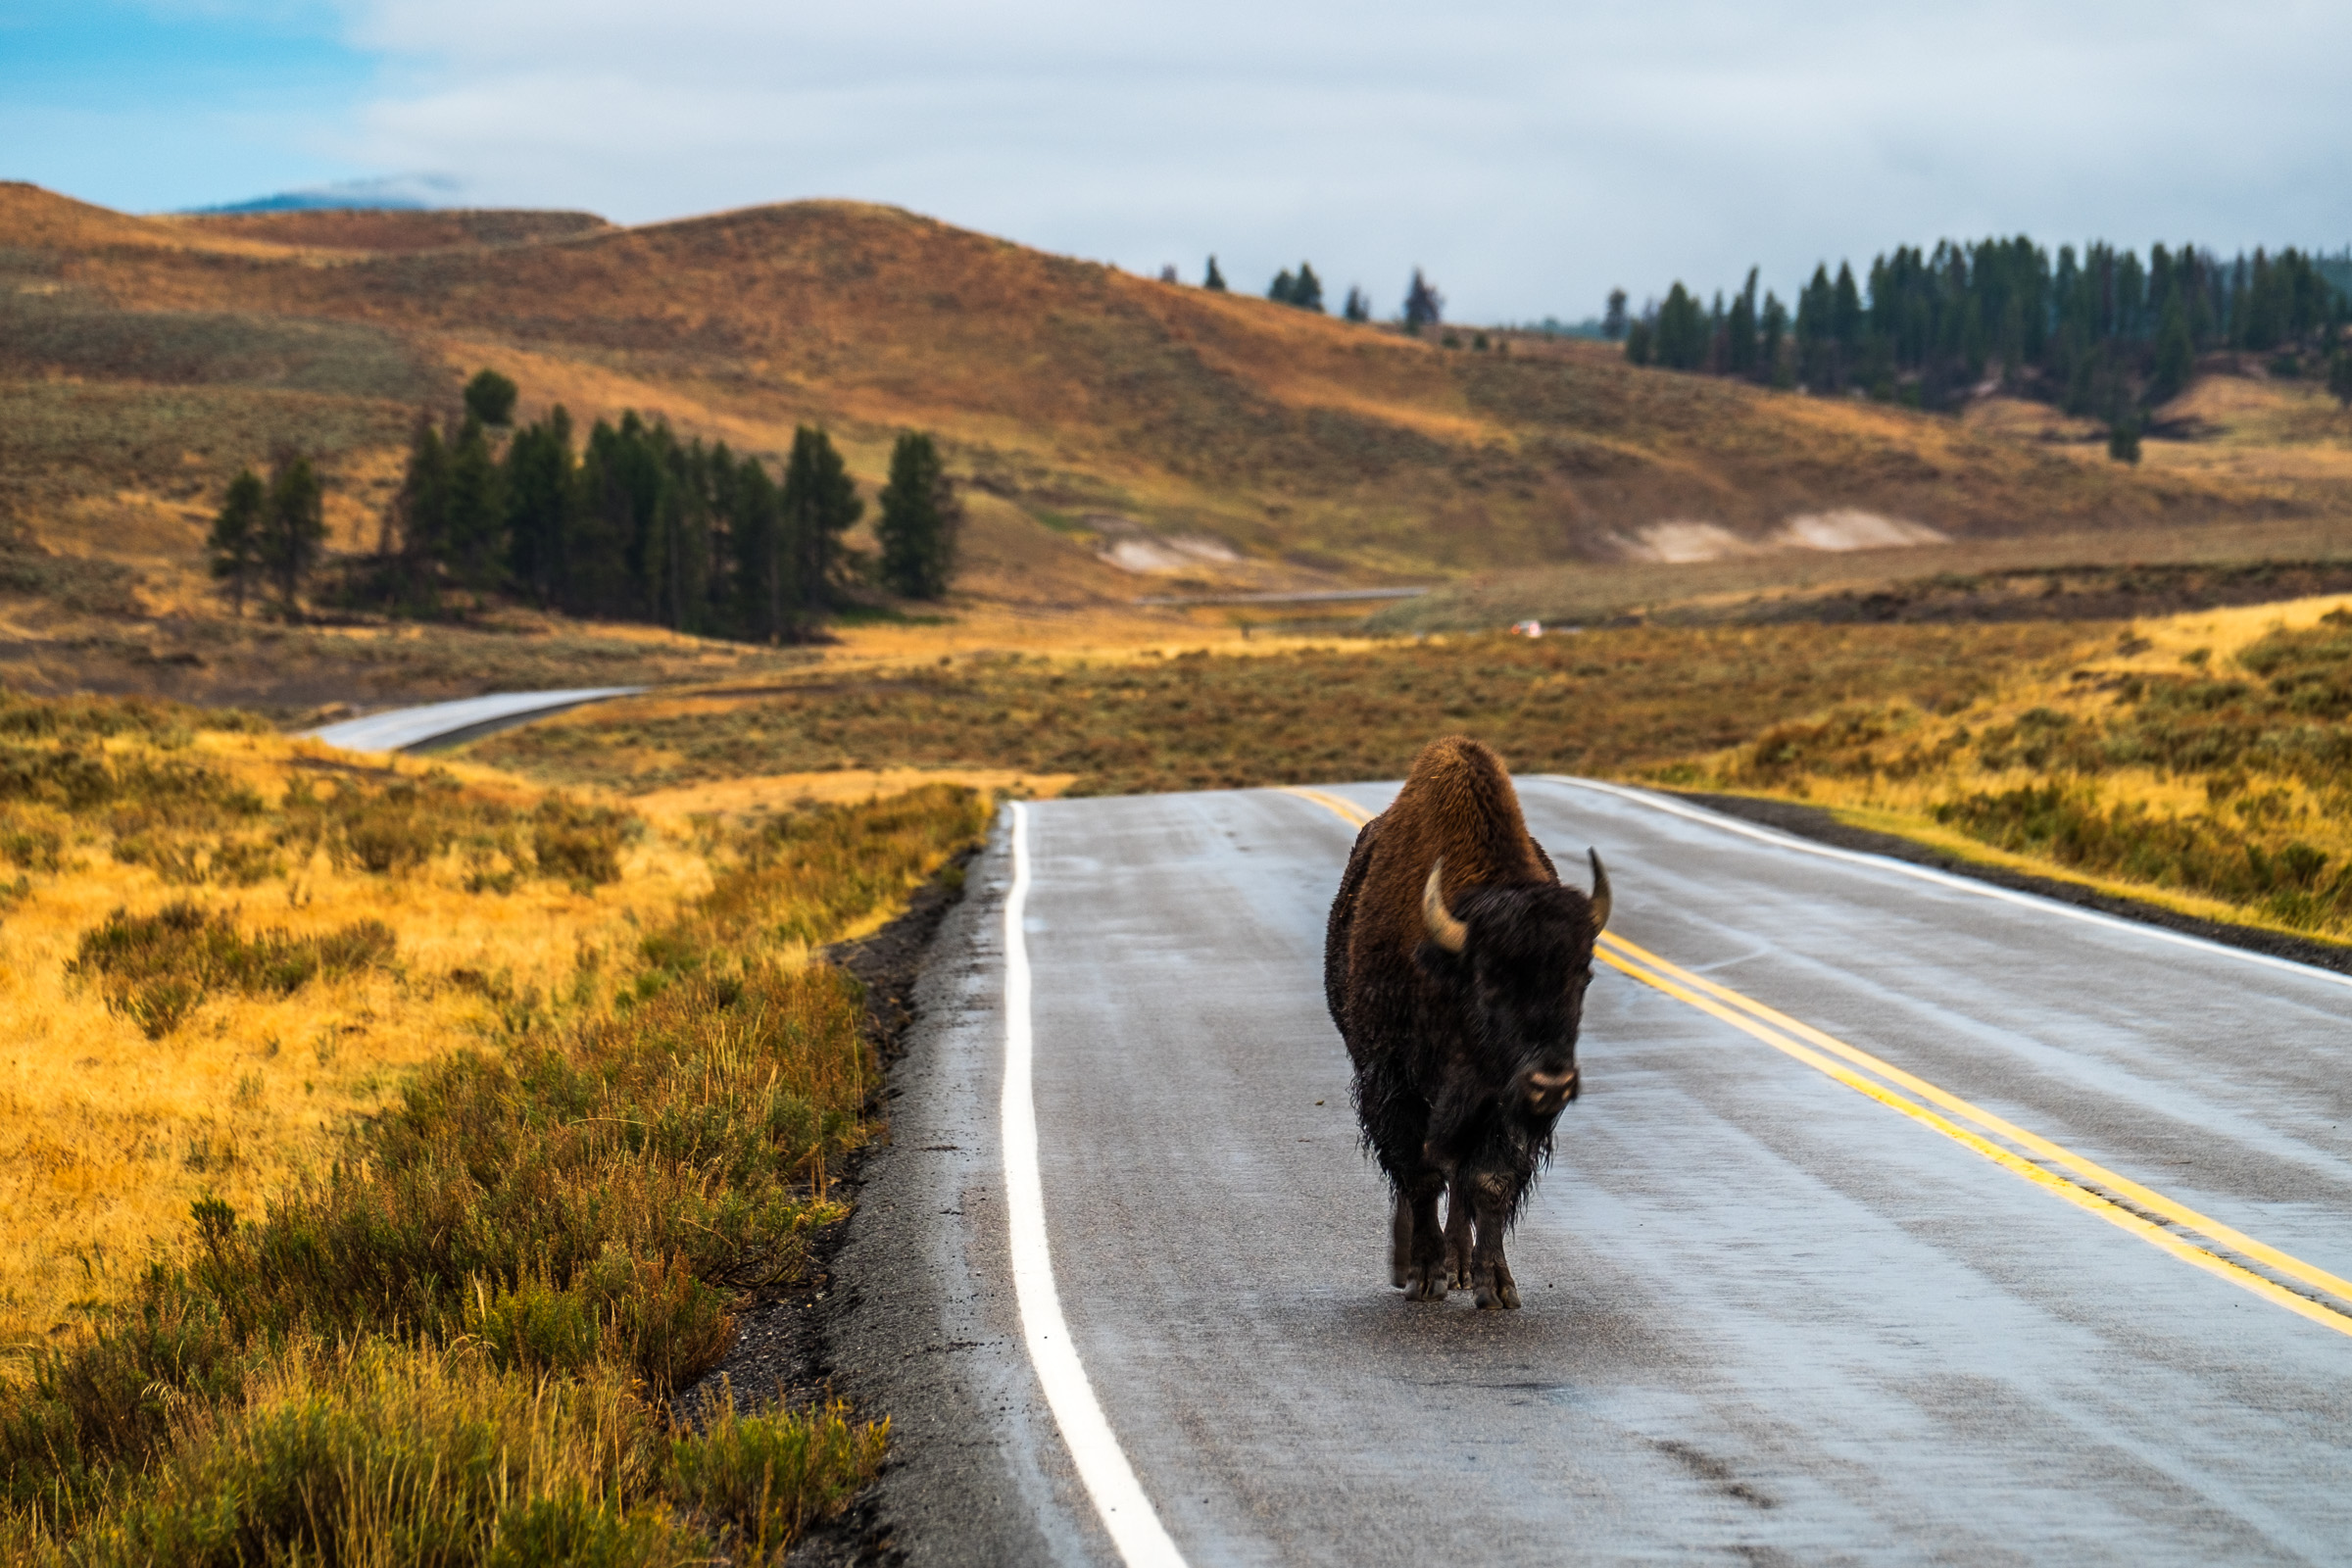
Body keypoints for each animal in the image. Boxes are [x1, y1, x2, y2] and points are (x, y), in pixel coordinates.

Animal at [1317, 743, 1608, 1306]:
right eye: (1490, 979)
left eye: (1583, 974)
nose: (1552, 1083)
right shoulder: (1394, 1084)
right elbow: (1421, 1173)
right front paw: (1425, 1274)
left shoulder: (1500, 1100)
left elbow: (1486, 1181)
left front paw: (1495, 1285)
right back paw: (1417, 1265)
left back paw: (1461, 1266)